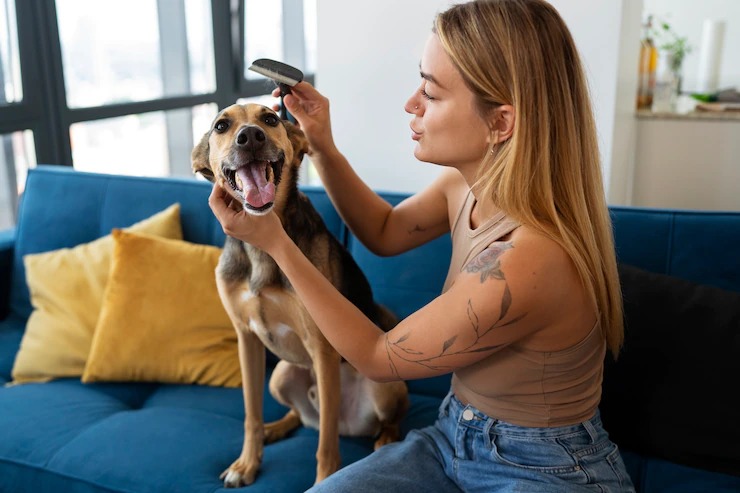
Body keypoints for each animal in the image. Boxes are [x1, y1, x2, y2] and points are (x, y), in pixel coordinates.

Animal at [191, 104, 410, 488]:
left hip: (384, 389)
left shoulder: (321, 348)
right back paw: (276, 428)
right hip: (280, 376)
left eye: (270, 119)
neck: (262, 251)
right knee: (301, 415)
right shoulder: (246, 339)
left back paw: (385, 439)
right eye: (221, 125)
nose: (250, 137)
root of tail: (350, 425)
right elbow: (250, 414)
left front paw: (324, 480)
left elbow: (325, 445)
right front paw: (246, 464)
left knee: (366, 421)